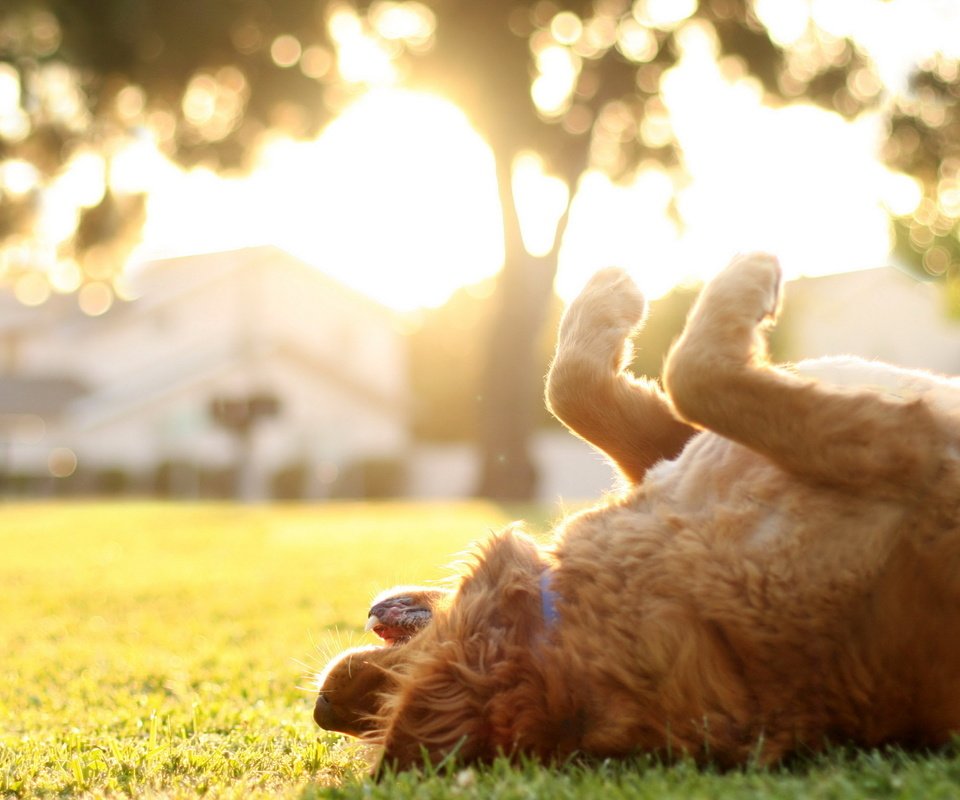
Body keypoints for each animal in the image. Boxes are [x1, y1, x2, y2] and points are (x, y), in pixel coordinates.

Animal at [314, 255, 960, 768]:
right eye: (377, 717)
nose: (322, 709)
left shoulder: (678, 452)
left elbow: (572, 389)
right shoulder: (911, 450)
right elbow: (693, 374)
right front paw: (743, 276)